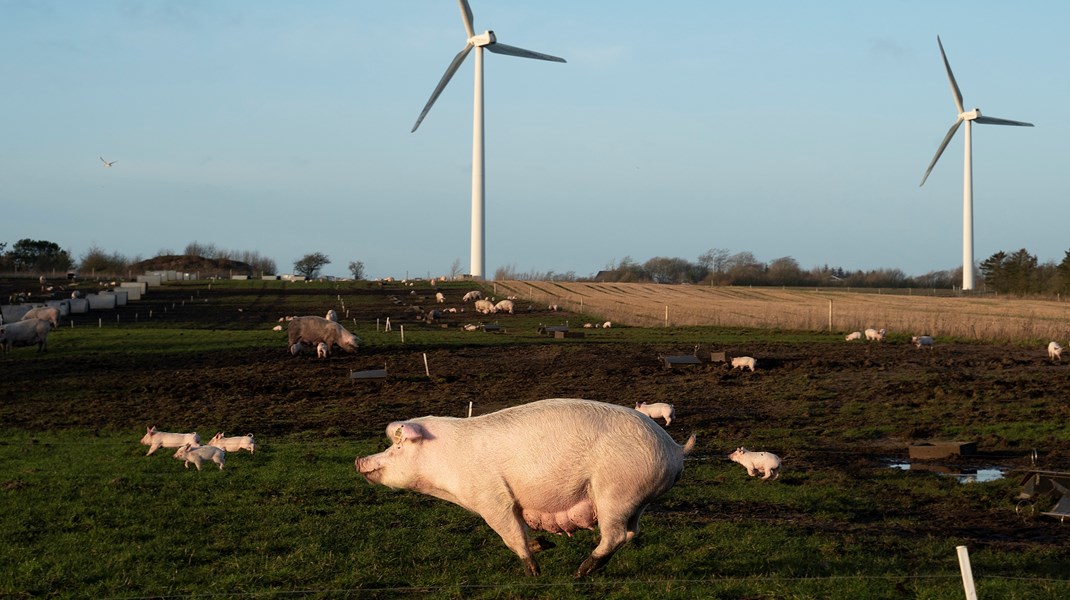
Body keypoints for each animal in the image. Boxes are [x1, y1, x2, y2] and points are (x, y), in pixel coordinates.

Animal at [355, 397, 697, 577]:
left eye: (398, 447)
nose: (360, 459)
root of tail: (675, 449)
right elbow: (522, 531)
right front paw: (545, 545)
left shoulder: (492, 499)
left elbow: (511, 535)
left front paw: (534, 572)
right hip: (636, 500)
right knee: (631, 532)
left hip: (614, 492)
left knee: (615, 535)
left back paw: (580, 572)